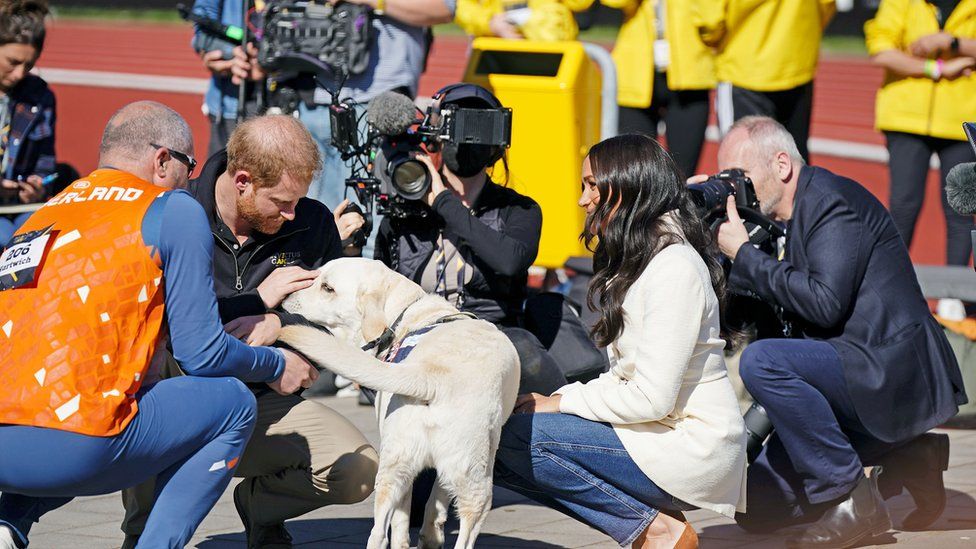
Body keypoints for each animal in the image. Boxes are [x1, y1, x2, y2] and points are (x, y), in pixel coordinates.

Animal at [278, 258, 524, 548]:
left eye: (327, 287)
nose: (284, 296)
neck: (405, 314)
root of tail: (430, 375)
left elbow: (425, 506)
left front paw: (429, 534)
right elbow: (437, 498)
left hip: (394, 465)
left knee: (380, 532)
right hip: (478, 482)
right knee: (466, 533)